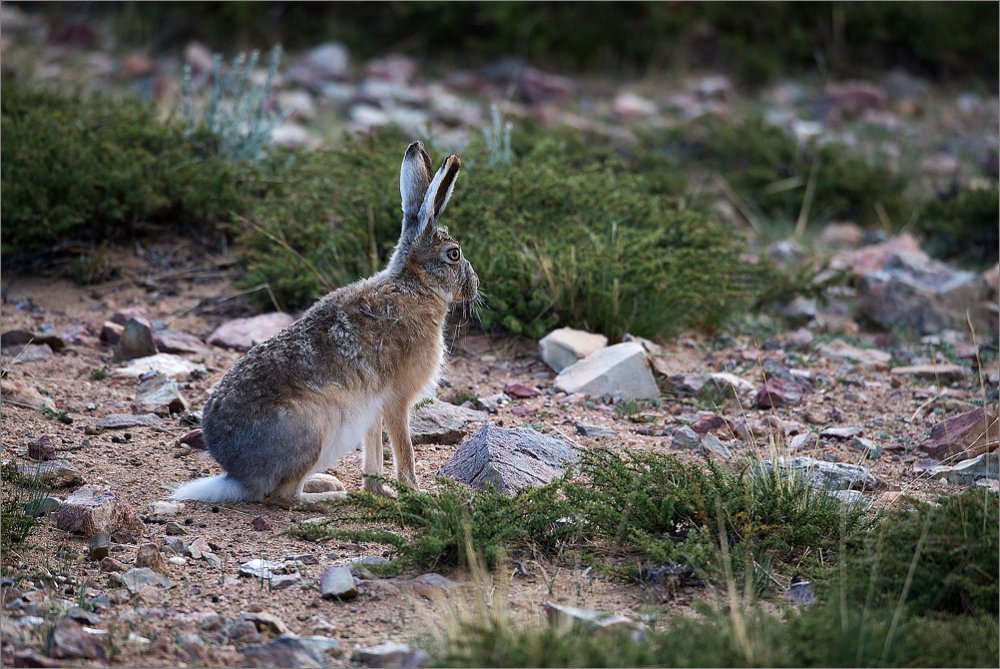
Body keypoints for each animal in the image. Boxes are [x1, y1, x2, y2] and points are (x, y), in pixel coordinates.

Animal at [172, 141, 478, 508]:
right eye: (454, 254)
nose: (475, 286)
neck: (414, 285)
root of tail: (238, 474)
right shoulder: (397, 399)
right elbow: (404, 450)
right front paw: (418, 496)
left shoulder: (373, 406)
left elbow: (373, 453)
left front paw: (380, 491)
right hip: (315, 431)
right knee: (282, 496)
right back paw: (331, 496)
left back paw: (327, 484)